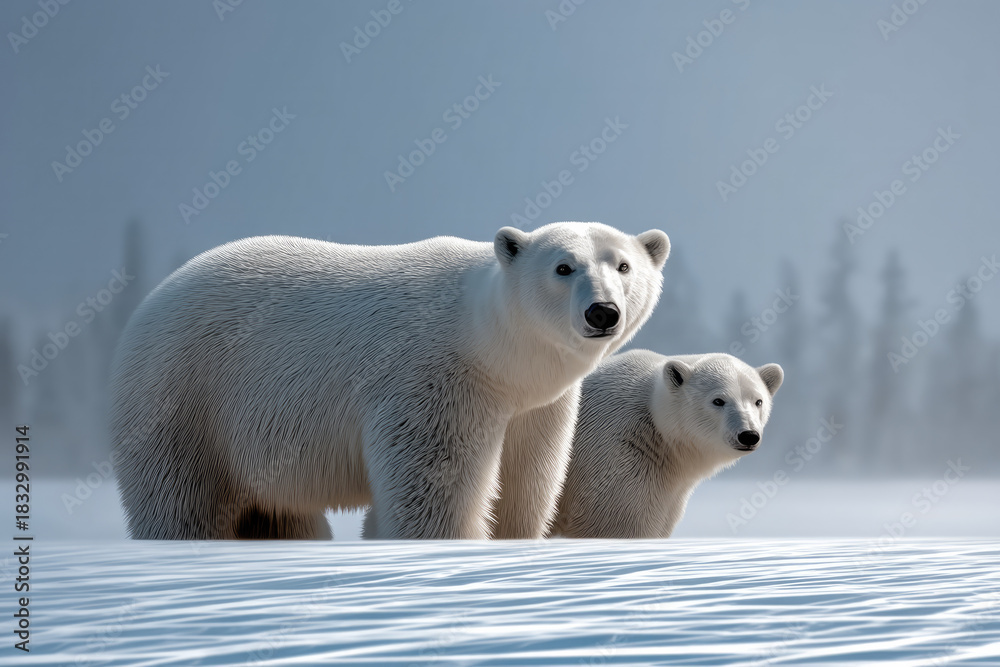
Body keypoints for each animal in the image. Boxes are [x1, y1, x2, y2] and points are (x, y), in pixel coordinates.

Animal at [110, 222, 670, 540]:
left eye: (624, 265)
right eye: (563, 267)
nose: (603, 312)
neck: (487, 342)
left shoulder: (536, 407)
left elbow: (525, 484)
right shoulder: (433, 379)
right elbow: (434, 489)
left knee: (277, 513)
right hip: (187, 400)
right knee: (183, 502)